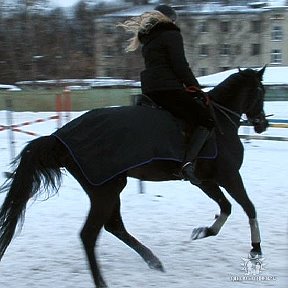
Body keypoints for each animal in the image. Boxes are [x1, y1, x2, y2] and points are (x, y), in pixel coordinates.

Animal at [0, 67, 268, 286]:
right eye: (262, 91)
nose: (262, 124)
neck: (220, 122)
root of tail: (60, 137)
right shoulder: (229, 176)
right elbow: (248, 207)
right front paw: (255, 249)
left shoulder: (205, 180)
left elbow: (226, 207)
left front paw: (203, 231)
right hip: (105, 190)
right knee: (90, 234)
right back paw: (102, 282)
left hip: (109, 188)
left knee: (114, 226)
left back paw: (153, 261)